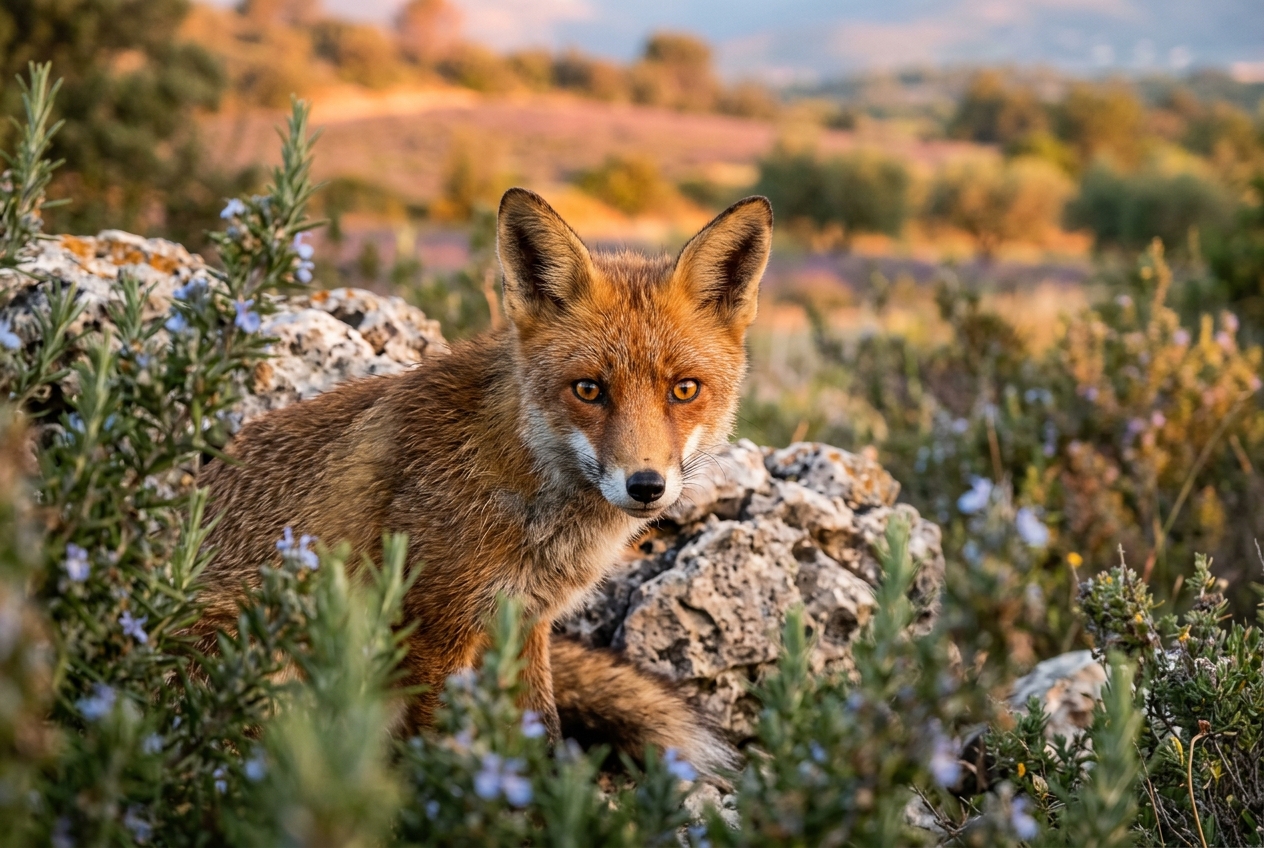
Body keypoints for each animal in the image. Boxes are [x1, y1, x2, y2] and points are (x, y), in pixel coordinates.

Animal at [194, 187, 773, 776]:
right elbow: (434, 748)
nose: (646, 485)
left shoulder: (524, 623)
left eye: (684, 389)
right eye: (588, 389)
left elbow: (543, 733)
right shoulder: (433, 631)